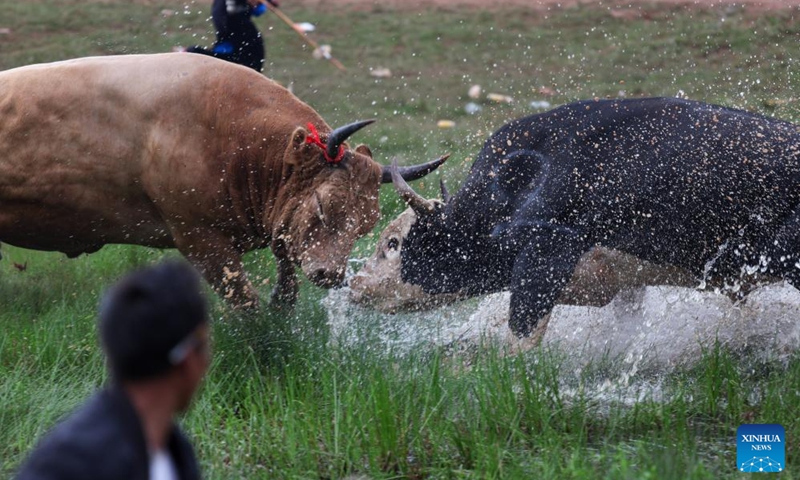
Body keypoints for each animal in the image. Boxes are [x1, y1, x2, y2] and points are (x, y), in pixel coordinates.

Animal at [0, 53, 444, 308]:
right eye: (324, 204)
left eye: (366, 224)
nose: (330, 275)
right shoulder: (199, 240)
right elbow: (245, 300)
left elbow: (285, 268)